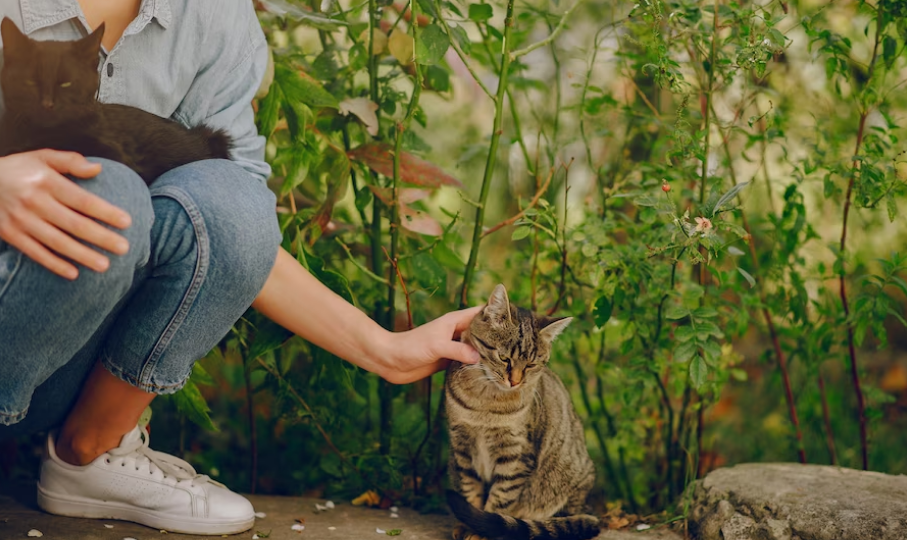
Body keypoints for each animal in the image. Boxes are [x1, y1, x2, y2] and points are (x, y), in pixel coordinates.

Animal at [444, 284, 600, 540]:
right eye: (504, 357)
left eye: (531, 365)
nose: (515, 382)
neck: (485, 403)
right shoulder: (462, 445)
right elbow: (470, 490)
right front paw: (467, 525)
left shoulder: (516, 454)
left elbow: (500, 498)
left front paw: (480, 531)